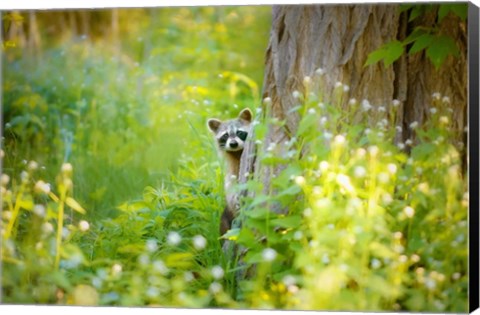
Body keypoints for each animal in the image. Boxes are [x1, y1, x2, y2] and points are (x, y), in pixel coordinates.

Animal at [206, 108, 253, 237]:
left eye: (240, 133)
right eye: (225, 135)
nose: (233, 144)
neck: (237, 152)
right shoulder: (232, 170)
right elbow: (231, 185)